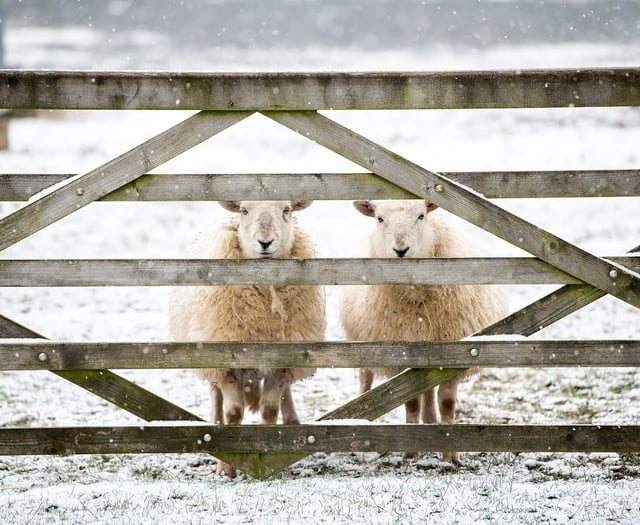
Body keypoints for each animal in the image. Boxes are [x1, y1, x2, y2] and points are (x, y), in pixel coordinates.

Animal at [169, 199, 324, 476]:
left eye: (286, 210)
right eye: (244, 210)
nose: (265, 242)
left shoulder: (282, 362)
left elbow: (270, 410)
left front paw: (273, 455)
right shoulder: (226, 363)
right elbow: (233, 412)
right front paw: (226, 467)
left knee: (286, 395)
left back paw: (293, 422)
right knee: (216, 397)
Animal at [340, 200, 510, 462]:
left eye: (421, 216)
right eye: (379, 218)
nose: (400, 250)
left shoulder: (454, 355)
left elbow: (447, 402)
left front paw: (450, 455)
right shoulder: (401, 356)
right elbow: (411, 402)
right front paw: (411, 452)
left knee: (428, 391)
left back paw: (430, 422)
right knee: (366, 380)